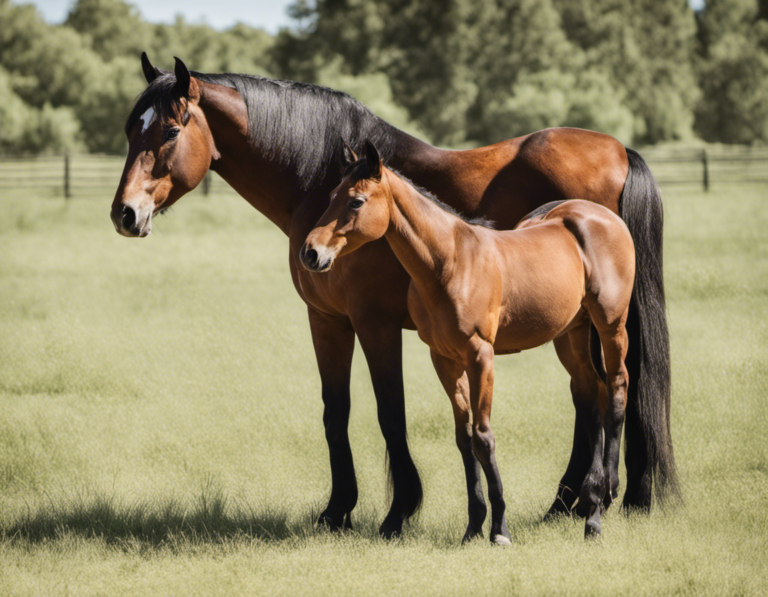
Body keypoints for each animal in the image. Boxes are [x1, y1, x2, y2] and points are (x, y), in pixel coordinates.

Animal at [300, 141, 636, 540]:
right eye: (331, 196)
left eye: (356, 202)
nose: (311, 252)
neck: (451, 262)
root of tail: (602, 216)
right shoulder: (444, 359)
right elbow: (464, 439)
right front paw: (474, 525)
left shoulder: (480, 355)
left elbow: (483, 435)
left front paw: (499, 528)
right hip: (571, 335)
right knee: (591, 394)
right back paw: (591, 499)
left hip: (610, 325)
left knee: (616, 390)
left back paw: (601, 503)